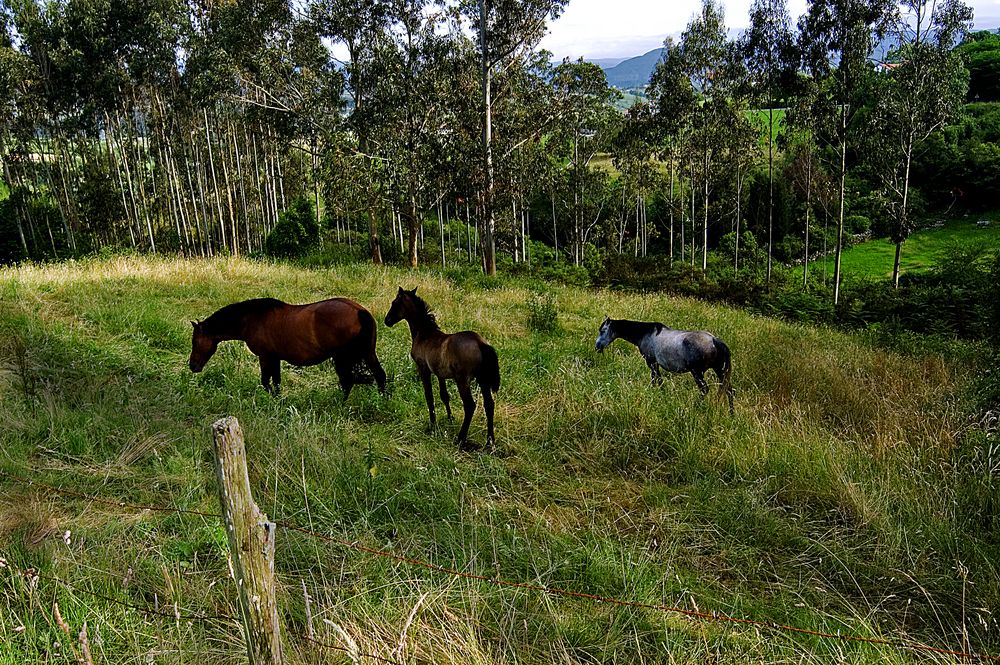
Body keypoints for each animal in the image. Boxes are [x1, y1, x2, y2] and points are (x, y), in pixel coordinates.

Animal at [189, 296, 384, 400]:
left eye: (195, 342)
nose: (192, 366)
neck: (252, 319)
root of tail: (358, 311)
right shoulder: (275, 358)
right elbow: (276, 381)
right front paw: (279, 399)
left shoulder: (265, 357)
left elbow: (266, 382)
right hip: (368, 354)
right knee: (379, 375)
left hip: (341, 358)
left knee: (347, 381)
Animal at [382, 288, 500, 448]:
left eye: (394, 303)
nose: (387, 320)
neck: (424, 333)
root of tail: (481, 343)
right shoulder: (440, 374)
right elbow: (444, 396)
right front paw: (450, 418)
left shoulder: (423, 369)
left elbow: (429, 396)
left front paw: (433, 424)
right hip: (483, 380)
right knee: (489, 404)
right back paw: (490, 441)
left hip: (463, 381)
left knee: (470, 405)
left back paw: (460, 439)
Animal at [592, 316, 736, 410]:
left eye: (603, 330)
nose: (597, 346)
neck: (645, 333)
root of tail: (715, 340)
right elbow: (658, 380)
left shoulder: (652, 363)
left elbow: (656, 380)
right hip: (720, 370)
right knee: (729, 390)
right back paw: (731, 413)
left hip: (697, 372)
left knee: (705, 390)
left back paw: (696, 407)